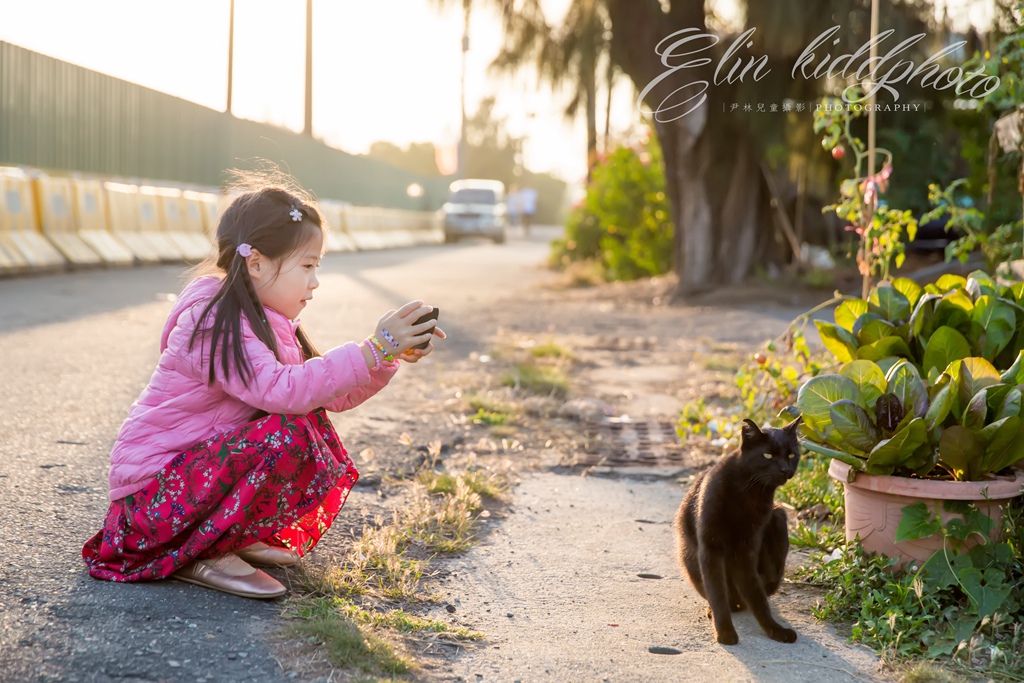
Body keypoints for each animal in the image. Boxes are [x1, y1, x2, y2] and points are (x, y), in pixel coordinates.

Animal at [675, 417, 802, 647]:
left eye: (791, 455)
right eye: (768, 455)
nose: (785, 470)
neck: (748, 492)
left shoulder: (745, 551)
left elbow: (757, 596)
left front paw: (774, 629)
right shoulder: (710, 549)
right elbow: (717, 593)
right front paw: (725, 631)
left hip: (779, 516)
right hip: (689, 558)